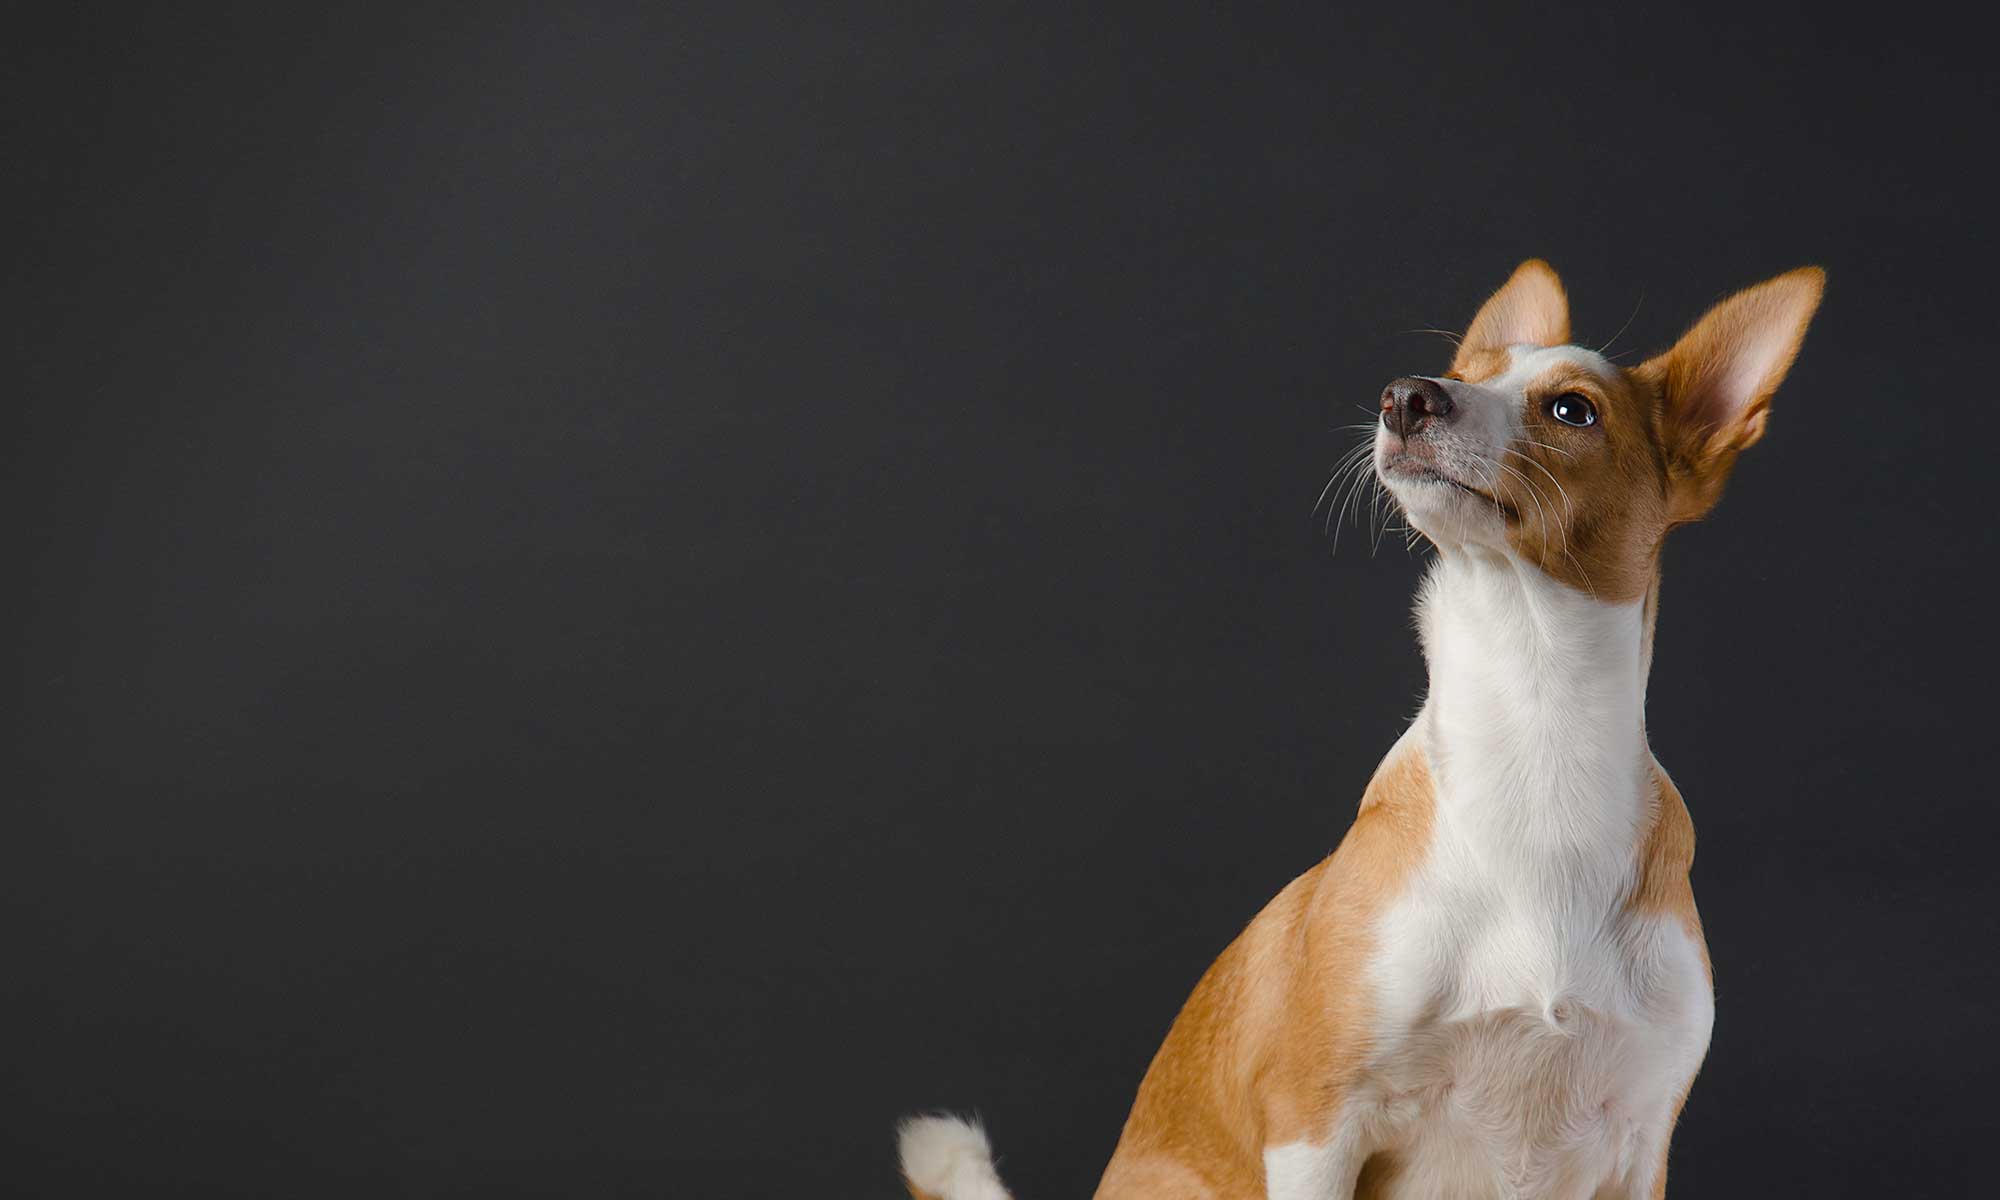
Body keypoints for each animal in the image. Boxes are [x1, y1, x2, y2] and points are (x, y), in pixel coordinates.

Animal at [900, 262, 1824, 1200]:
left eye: (1573, 410)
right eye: (1463, 371)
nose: (1409, 396)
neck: (1537, 730)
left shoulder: (1639, 1149)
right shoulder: (1316, 1126)